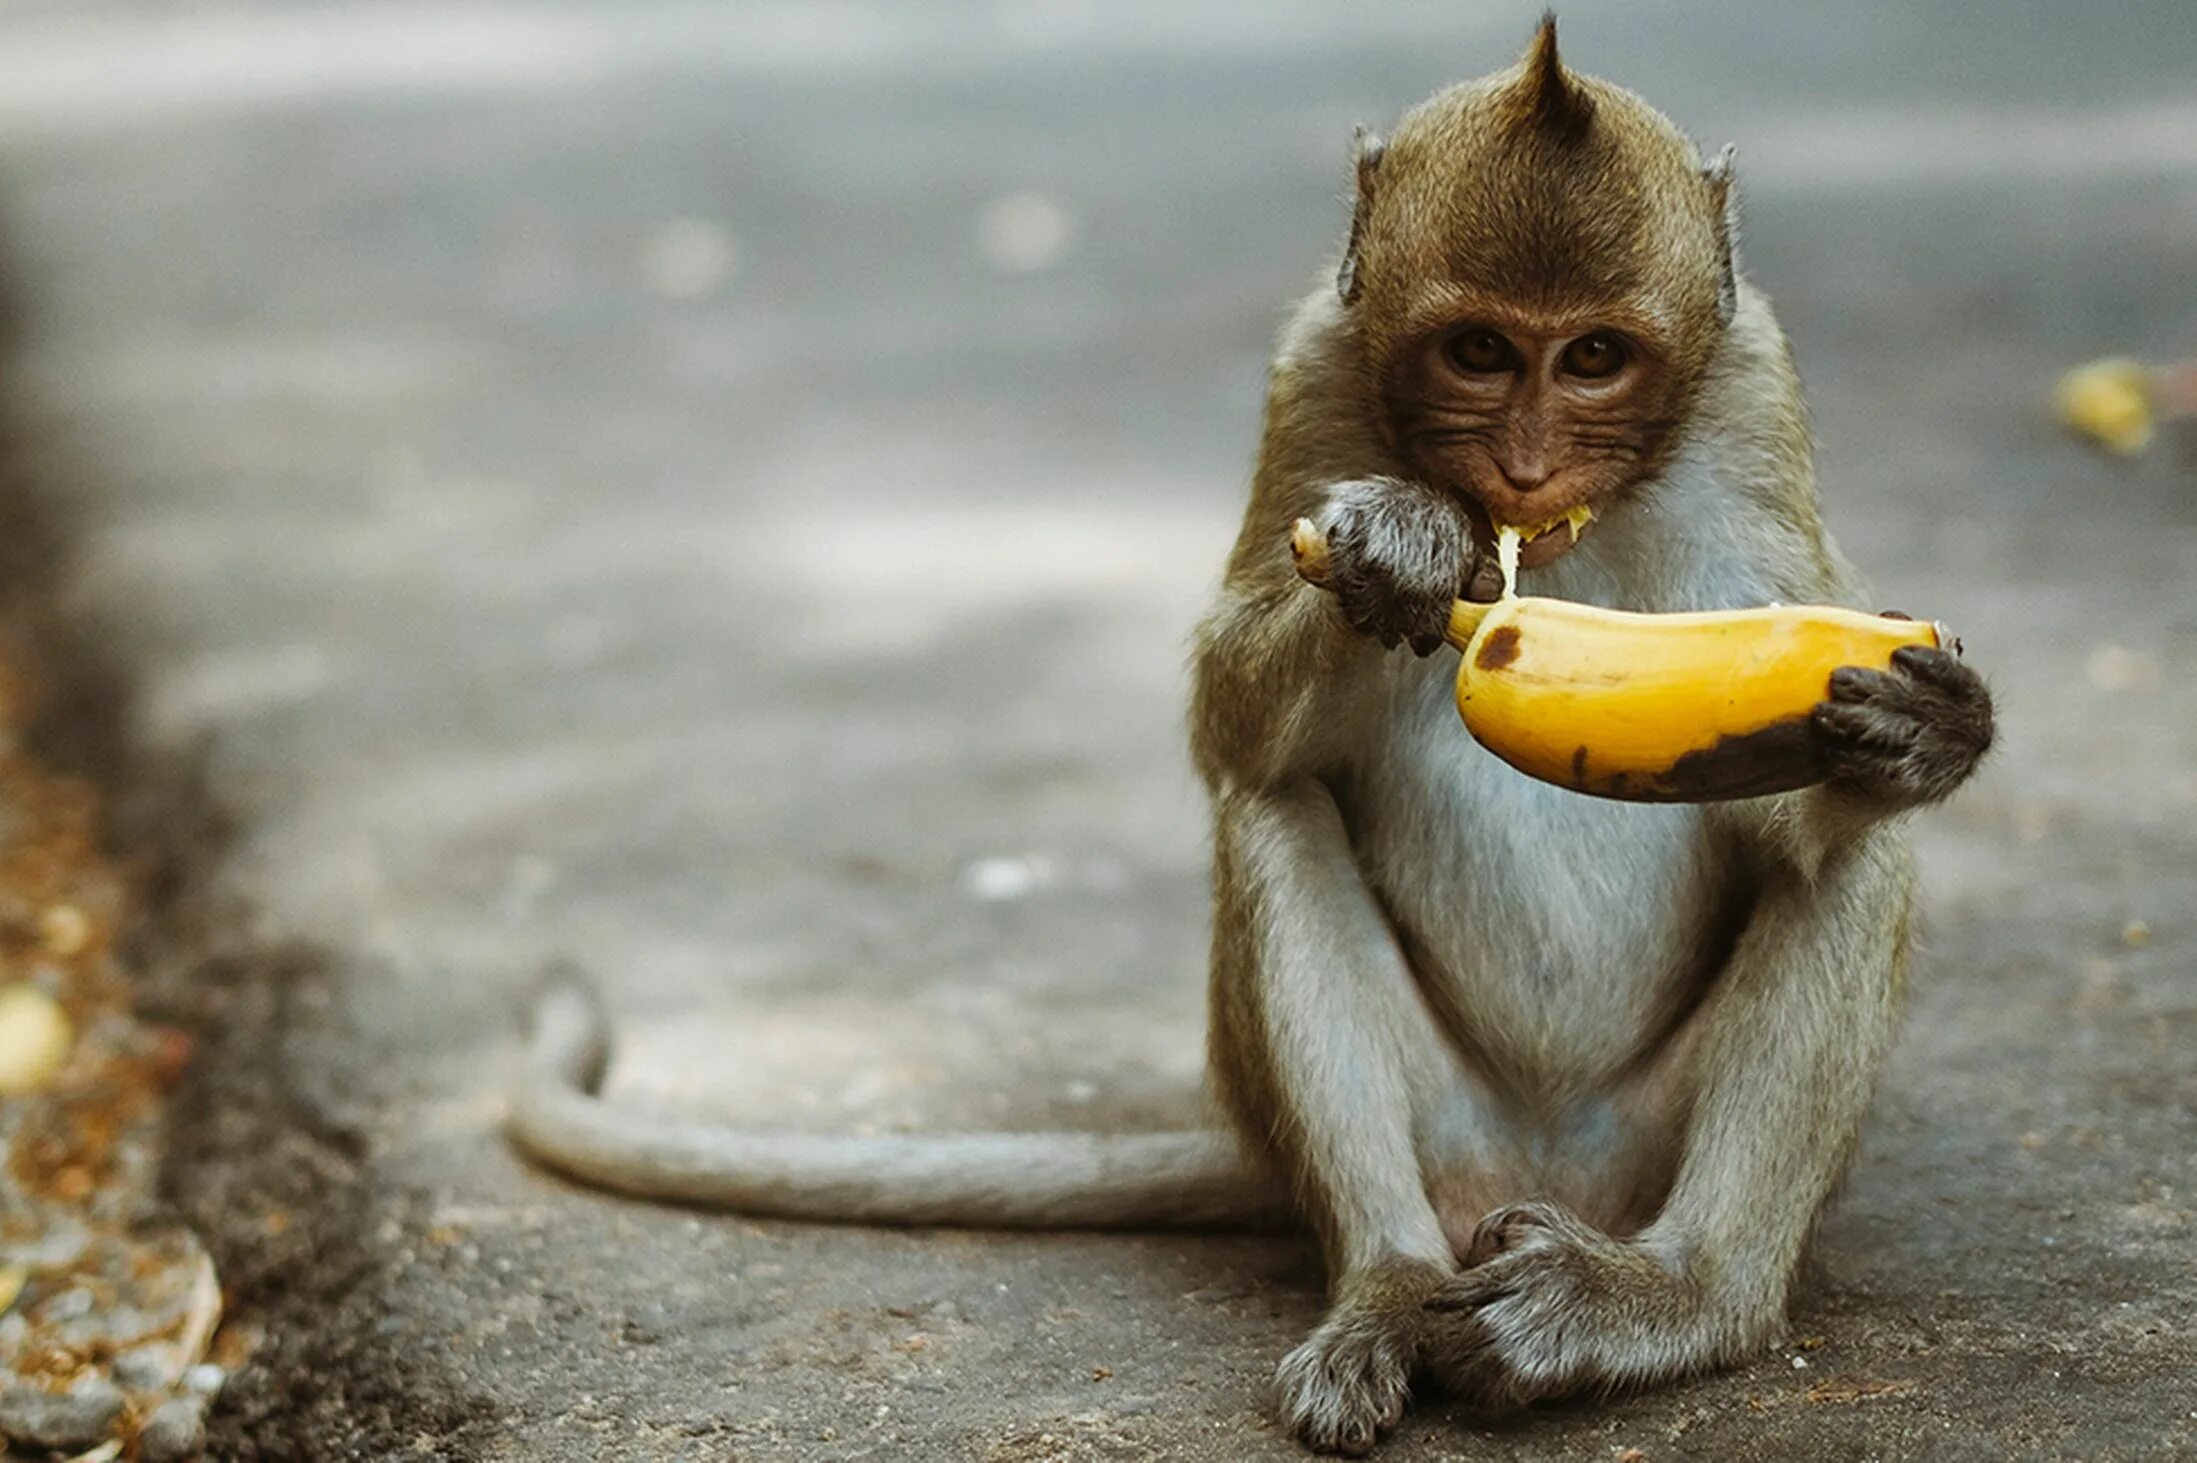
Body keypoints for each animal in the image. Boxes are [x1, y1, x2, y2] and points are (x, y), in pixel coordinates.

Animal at [505, 17, 2003, 1449]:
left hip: (1643, 1148)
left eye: (1591, 357)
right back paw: (1388, 1283)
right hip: (1438, 1126)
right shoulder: (1313, 371)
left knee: (1853, 859)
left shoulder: (1755, 401)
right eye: (1477, 351)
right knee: (1274, 814)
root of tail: (1540, 1173)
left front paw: (1922, 729)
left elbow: (1792, 807)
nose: (1520, 468)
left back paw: (1671, 1297)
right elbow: (1233, 720)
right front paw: (1401, 544)